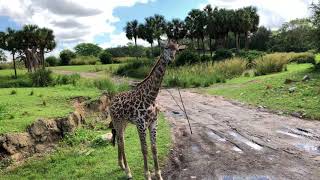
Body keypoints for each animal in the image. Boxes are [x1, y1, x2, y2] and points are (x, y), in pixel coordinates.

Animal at [109, 40, 180, 179]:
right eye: (165, 48)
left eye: (177, 49)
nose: (171, 59)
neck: (150, 97)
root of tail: (111, 101)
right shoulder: (141, 124)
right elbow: (144, 148)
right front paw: (147, 175)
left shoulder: (153, 122)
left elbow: (154, 148)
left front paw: (158, 175)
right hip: (117, 121)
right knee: (121, 141)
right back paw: (128, 171)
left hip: (124, 122)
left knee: (121, 140)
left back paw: (122, 165)